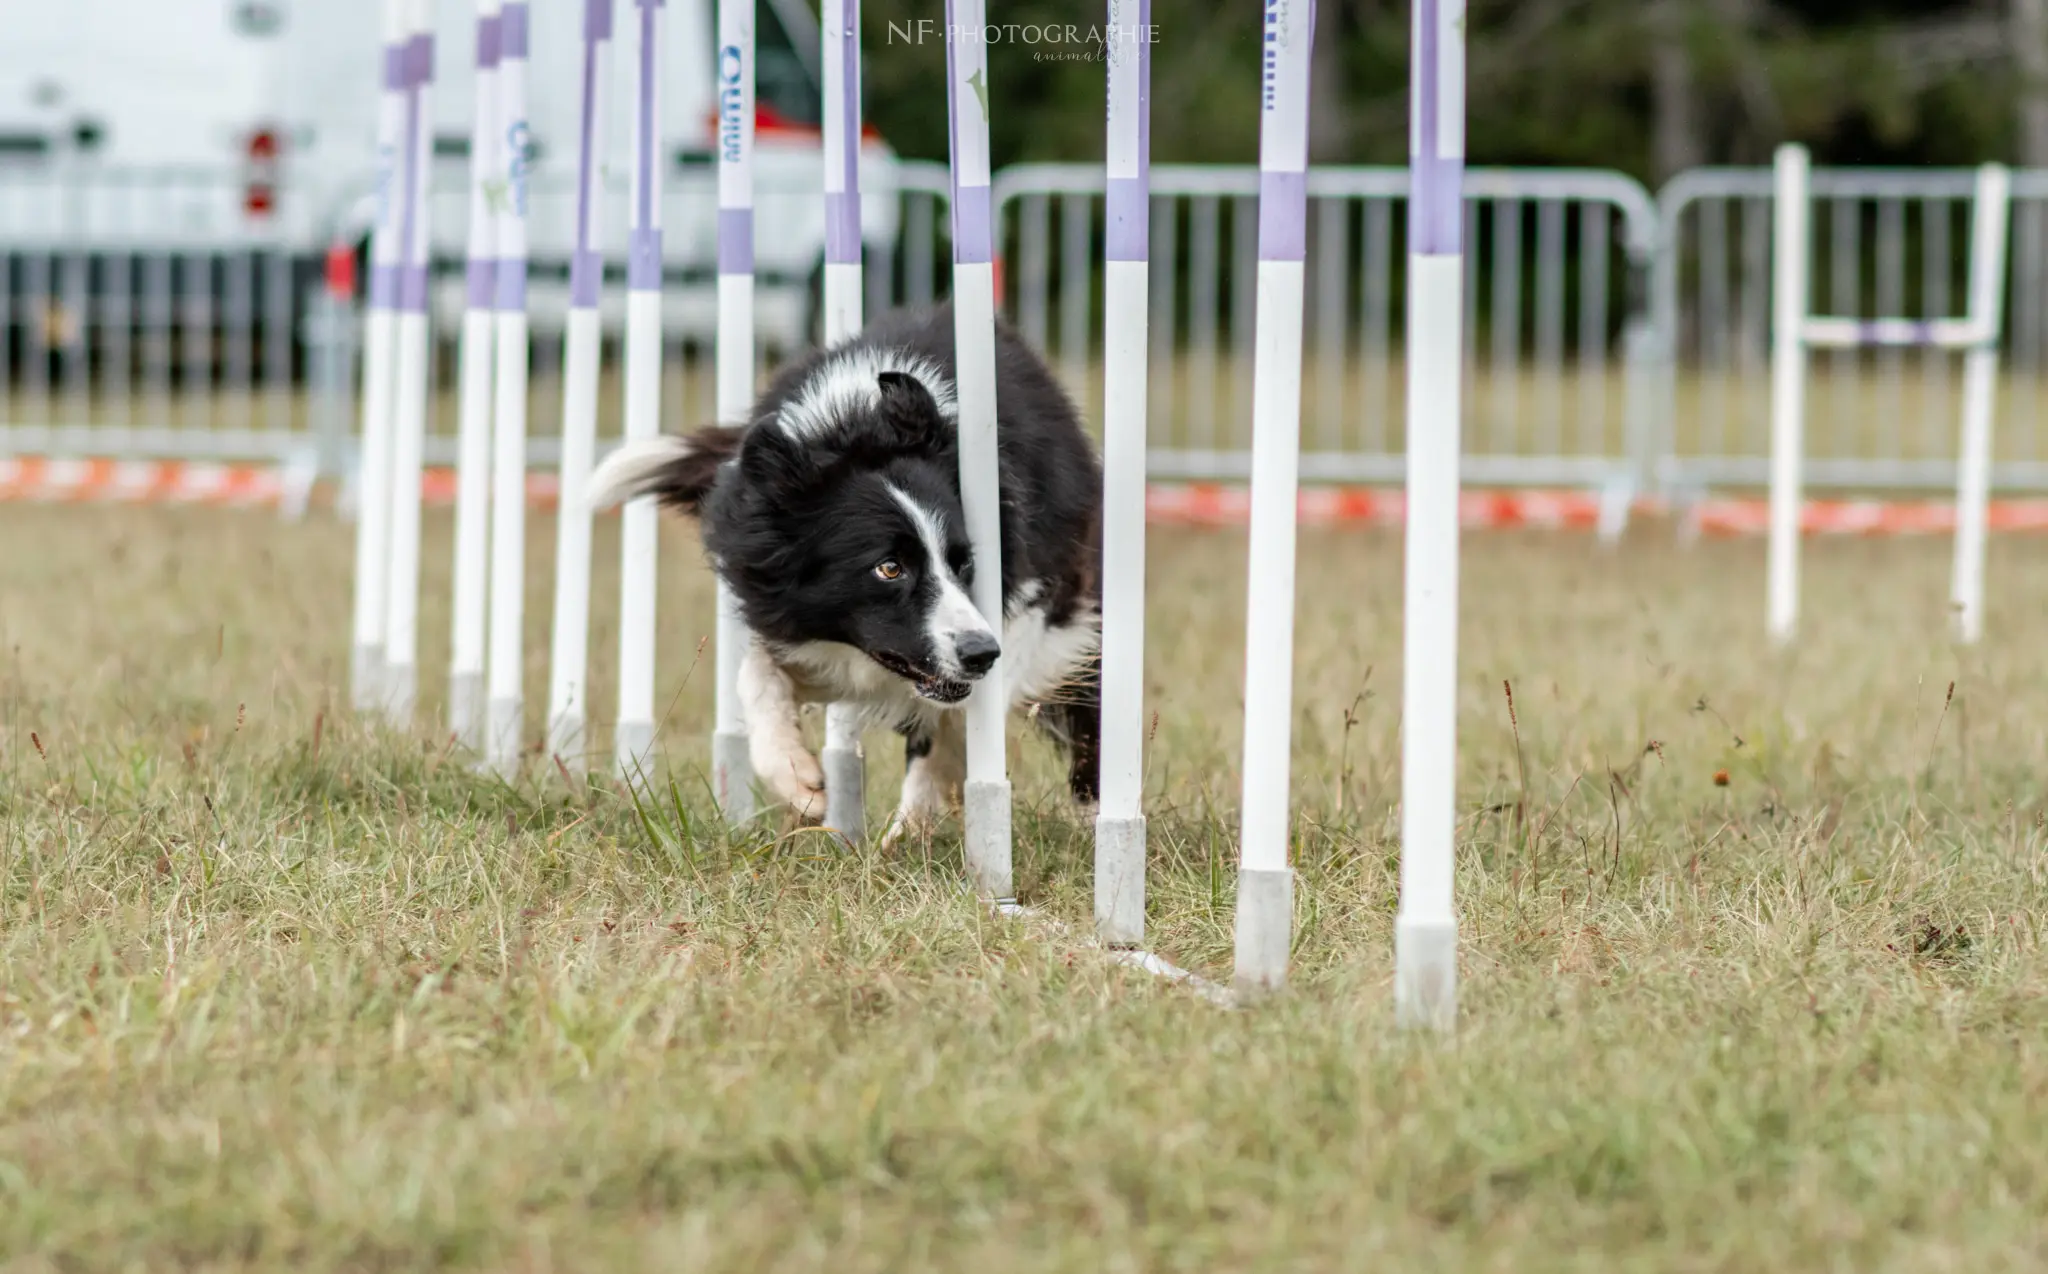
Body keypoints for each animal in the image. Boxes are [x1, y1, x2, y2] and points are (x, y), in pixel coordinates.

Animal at [589, 303, 1105, 843]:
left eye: (964, 562)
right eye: (889, 568)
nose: (981, 653)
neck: (859, 425)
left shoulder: (1044, 596)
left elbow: (961, 713)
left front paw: (915, 821)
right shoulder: (799, 622)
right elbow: (757, 672)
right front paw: (799, 780)